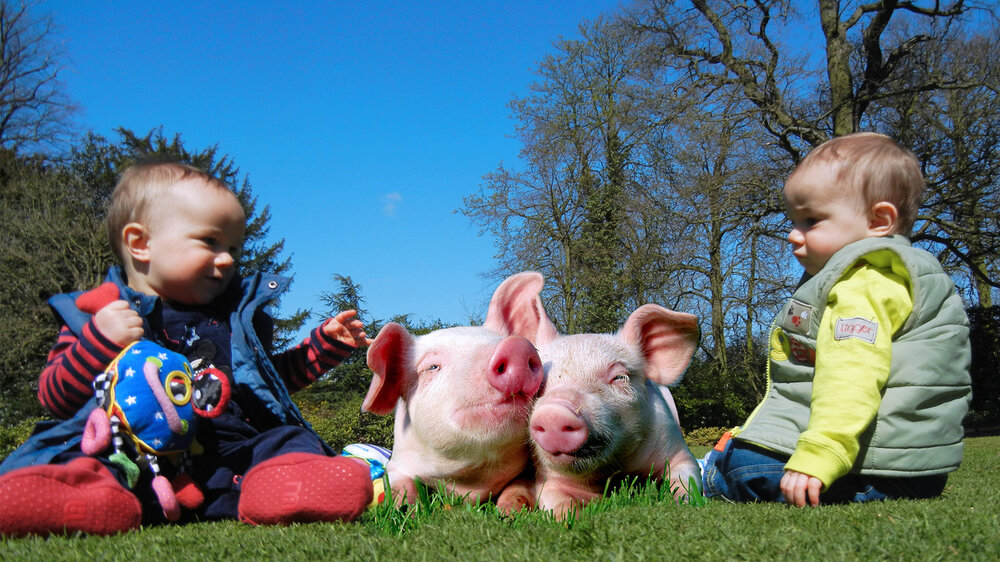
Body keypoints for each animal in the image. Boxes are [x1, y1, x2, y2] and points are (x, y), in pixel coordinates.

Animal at [362, 272, 558, 505]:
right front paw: (402, 505)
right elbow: (399, 482)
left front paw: (509, 509)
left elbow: (518, 487)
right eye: (432, 367)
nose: (516, 347)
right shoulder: (397, 463)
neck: (469, 483)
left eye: (502, 341)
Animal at [497, 303, 701, 519]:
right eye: (539, 385)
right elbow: (557, 502)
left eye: (620, 377)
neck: (612, 473)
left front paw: (682, 505)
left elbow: (686, 480)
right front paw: (570, 520)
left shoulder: (677, 449)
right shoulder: (549, 477)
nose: (553, 413)